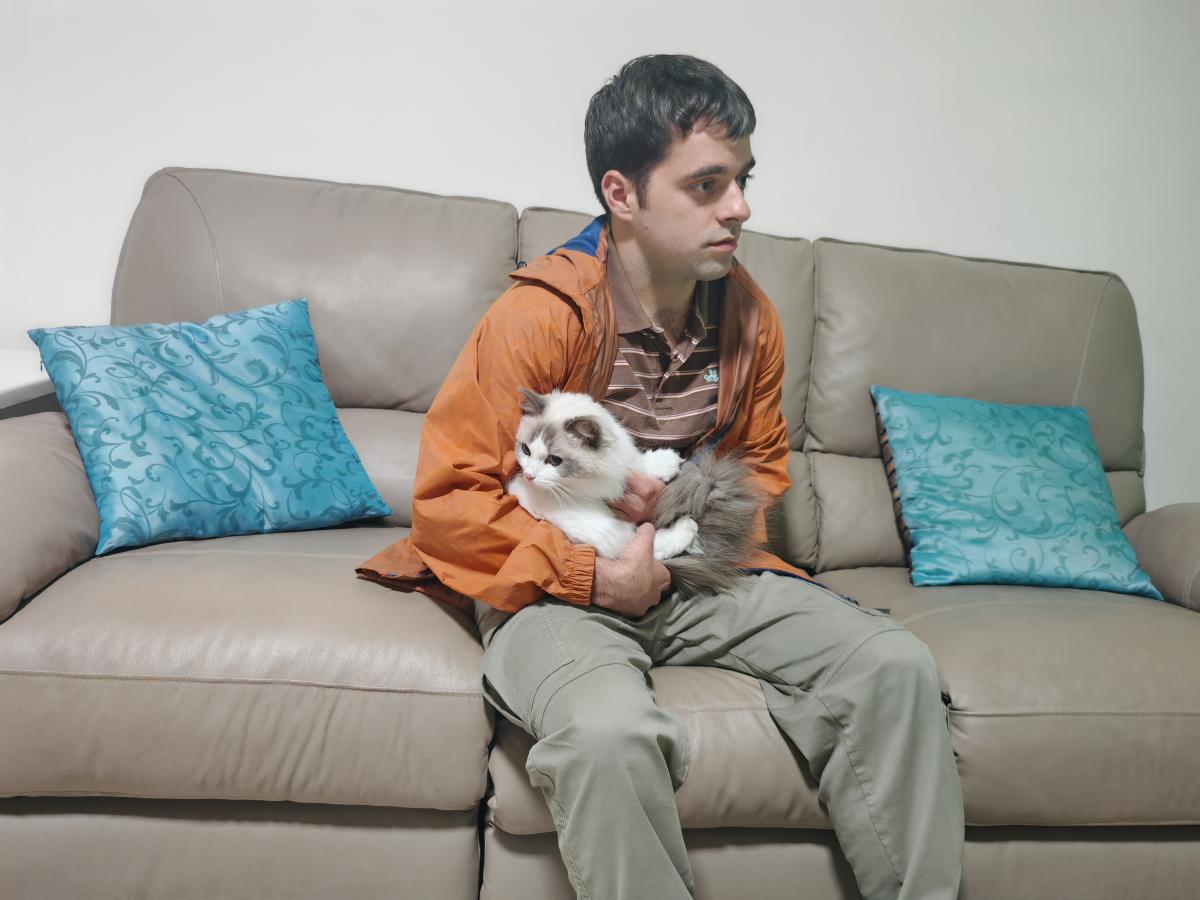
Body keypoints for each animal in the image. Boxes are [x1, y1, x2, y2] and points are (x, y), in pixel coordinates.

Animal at [505, 386, 766, 598]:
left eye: (554, 460)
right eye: (526, 450)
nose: (529, 475)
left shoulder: (624, 468)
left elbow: (639, 464)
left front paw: (667, 462)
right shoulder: (603, 532)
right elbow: (647, 545)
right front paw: (683, 527)